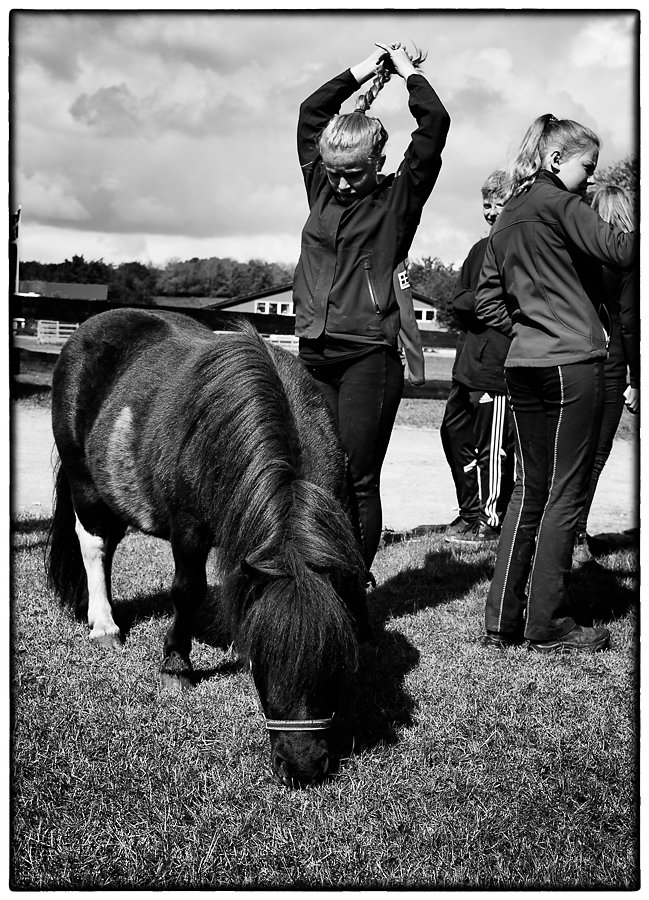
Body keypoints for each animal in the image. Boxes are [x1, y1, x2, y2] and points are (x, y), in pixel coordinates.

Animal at [46, 310, 370, 788]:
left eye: (337, 662)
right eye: (263, 660)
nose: (302, 767)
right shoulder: (189, 528)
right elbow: (188, 590)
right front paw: (176, 666)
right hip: (84, 481)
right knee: (93, 544)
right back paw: (103, 623)